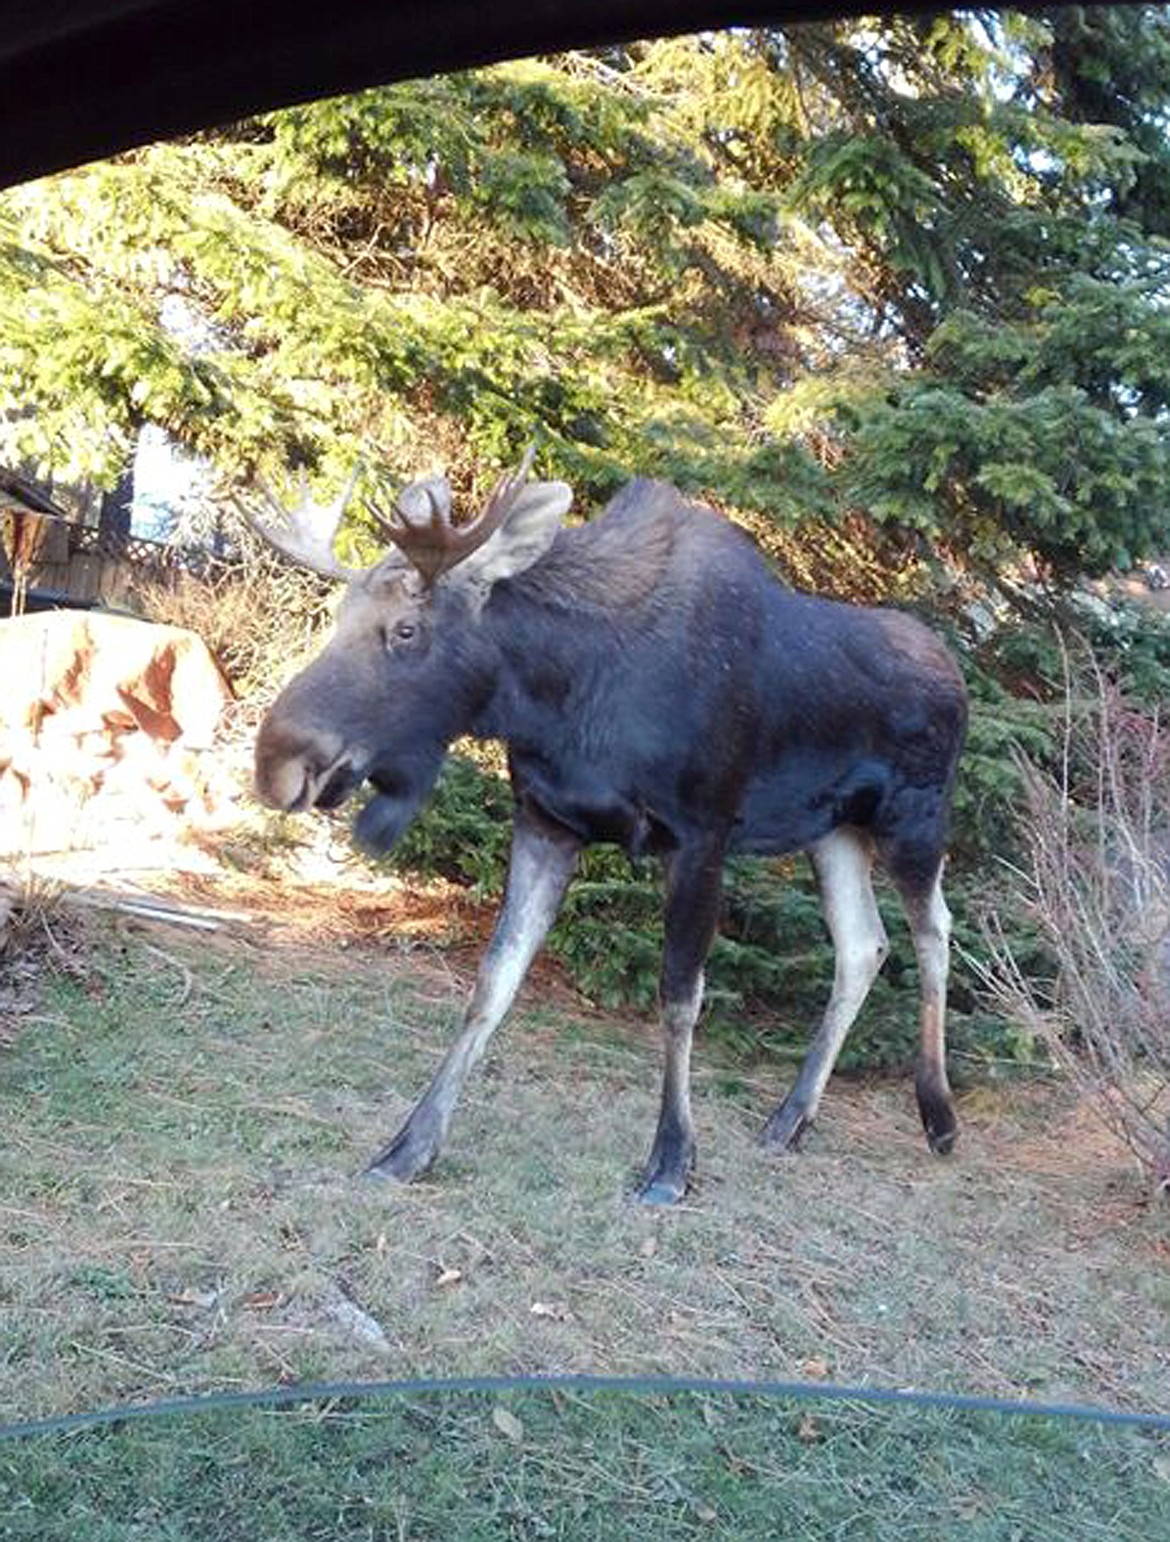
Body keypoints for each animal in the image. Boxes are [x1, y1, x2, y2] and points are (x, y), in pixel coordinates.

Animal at [254, 450, 968, 1202]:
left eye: (407, 629)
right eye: (339, 615)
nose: (276, 761)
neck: (561, 697)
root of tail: (957, 678)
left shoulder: (702, 833)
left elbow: (680, 996)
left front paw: (671, 1160)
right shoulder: (546, 820)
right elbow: (493, 981)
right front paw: (410, 1146)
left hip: (913, 820)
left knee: (934, 929)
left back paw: (938, 1117)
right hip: (832, 831)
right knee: (863, 944)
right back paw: (790, 1118)